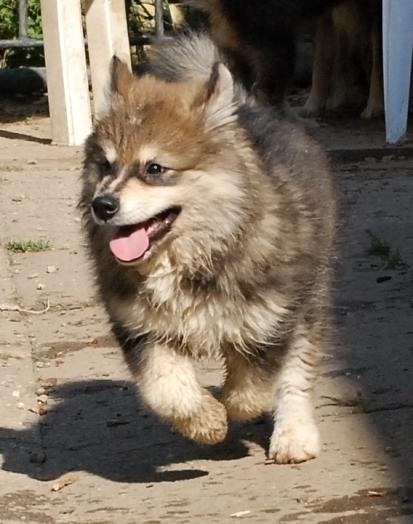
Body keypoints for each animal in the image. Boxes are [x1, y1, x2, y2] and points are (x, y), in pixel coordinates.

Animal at [79, 34, 336, 464]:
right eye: (106, 165)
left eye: (155, 169)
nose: (103, 205)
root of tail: (250, 108)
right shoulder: (141, 328)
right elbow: (165, 389)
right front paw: (206, 421)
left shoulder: (274, 316)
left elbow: (254, 386)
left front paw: (234, 405)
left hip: (308, 300)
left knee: (295, 373)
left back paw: (294, 434)